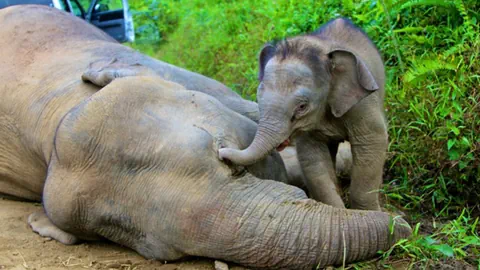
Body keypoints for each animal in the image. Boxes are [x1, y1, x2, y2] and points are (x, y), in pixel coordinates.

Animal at [219, 17, 388, 211]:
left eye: (301, 106)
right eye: (257, 98)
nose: (221, 152)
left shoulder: (362, 103)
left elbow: (372, 142)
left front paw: (368, 213)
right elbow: (312, 158)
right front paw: (337, 211)